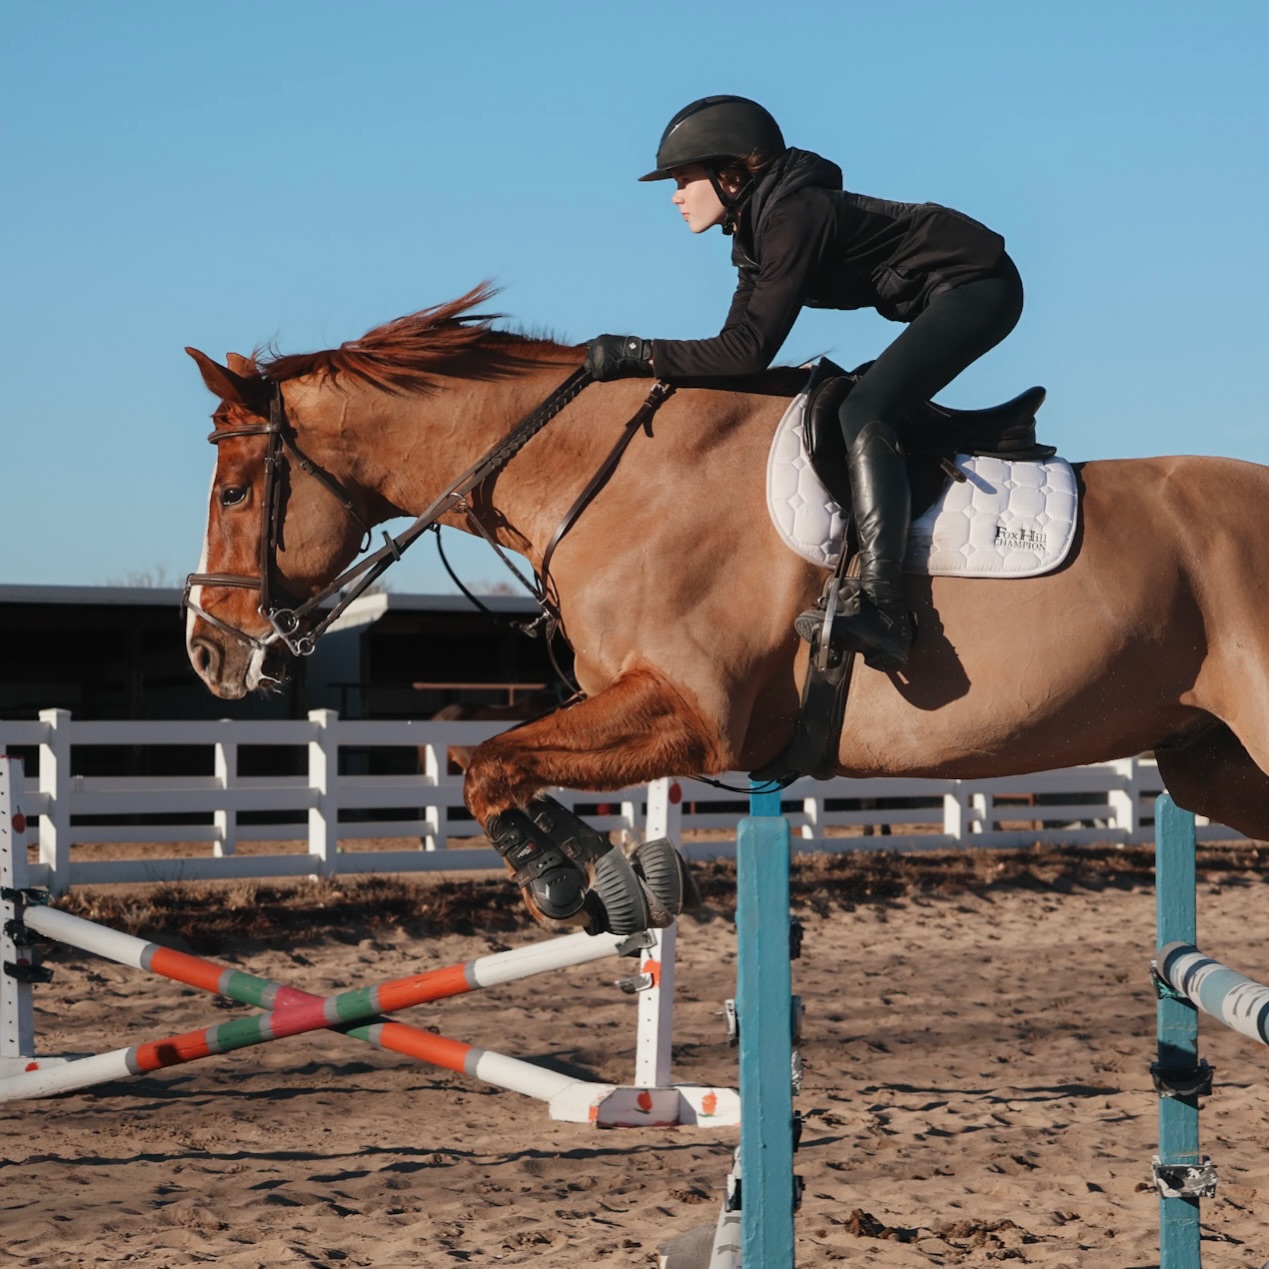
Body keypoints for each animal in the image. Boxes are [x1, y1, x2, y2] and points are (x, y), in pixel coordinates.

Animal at [184, 283, 1269, 933]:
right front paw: (608, 879)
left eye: (233, 492)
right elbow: (492, 760)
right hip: (1209, 759)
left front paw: (567, 883)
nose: (207, 655)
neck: (607, 474)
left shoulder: (695, 713)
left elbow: (489, 760)